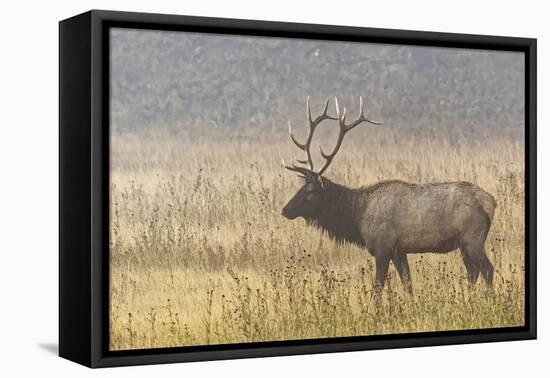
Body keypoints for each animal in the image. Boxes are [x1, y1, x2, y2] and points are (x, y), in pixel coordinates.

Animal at [282, 96, 498, 292]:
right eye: (300, 187)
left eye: (309, 191)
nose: (285, 210)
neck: (357, 217)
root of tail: (491, 202)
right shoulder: (399, 250)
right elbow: (408, 283)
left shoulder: (383, 246)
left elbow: (378, 286)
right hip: (463, 244)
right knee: (473, 272)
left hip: (473, 238)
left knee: (487, 269)